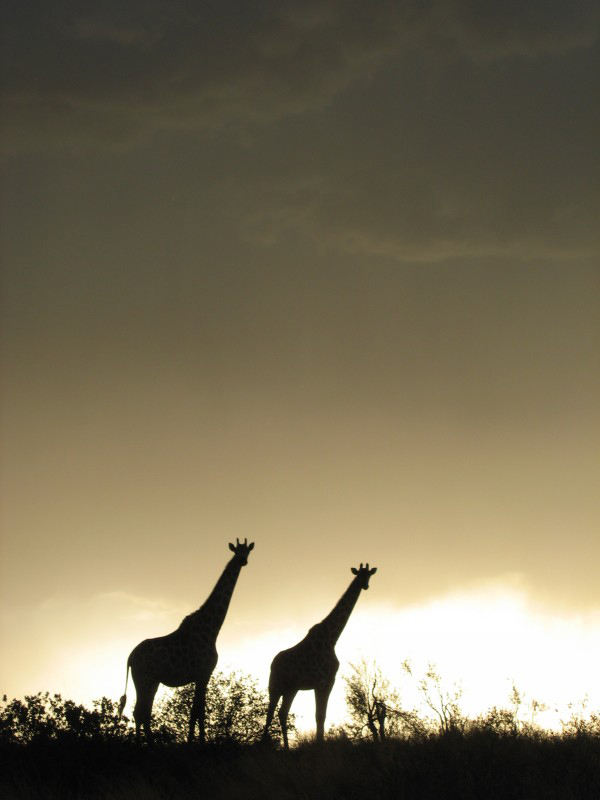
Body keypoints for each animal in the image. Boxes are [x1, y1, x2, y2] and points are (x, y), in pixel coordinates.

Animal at [119, 536, 253, 744]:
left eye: (247, 551)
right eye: (237, 551)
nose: (242, 561)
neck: (212, 628)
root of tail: (130, 658)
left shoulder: (201, 675)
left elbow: (196, 711)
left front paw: (193, 741)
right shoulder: (204, 672)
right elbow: (198, 711)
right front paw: (198, 743)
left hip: (151, 681)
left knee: (142, 712)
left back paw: (147, 743)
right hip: (144, 678)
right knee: (140, 712)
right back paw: (147, 744)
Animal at [262, 564, 376, 752]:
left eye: (369, 576)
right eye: (359, 575)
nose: (365, 585)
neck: (332, 638)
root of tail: (272, 663)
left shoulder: (330, 681)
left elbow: (322, 715)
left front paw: (320, 743)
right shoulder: (320, 681)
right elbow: (318, 715)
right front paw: (319, 745)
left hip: (291, 689)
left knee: (282, 713)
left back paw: (286, 748)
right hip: (275, 686)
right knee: (270, 712)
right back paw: (262, 743)